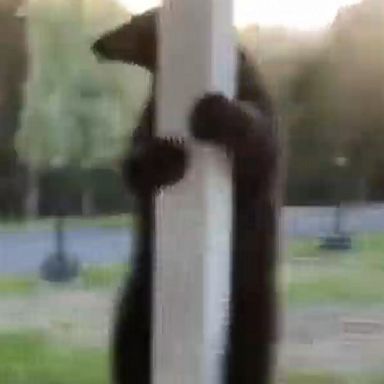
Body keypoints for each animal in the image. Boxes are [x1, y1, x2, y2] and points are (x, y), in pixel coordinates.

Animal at [92, 6, 280, 384]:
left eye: (132, 23)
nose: (100, 43)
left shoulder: (259, 112)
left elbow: (259, 142)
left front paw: (213, 110)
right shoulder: (147, 122)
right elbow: (134, 166)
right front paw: (167, 156)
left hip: (253, 304)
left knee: (250, 356)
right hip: (138, 298)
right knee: (128, 347)